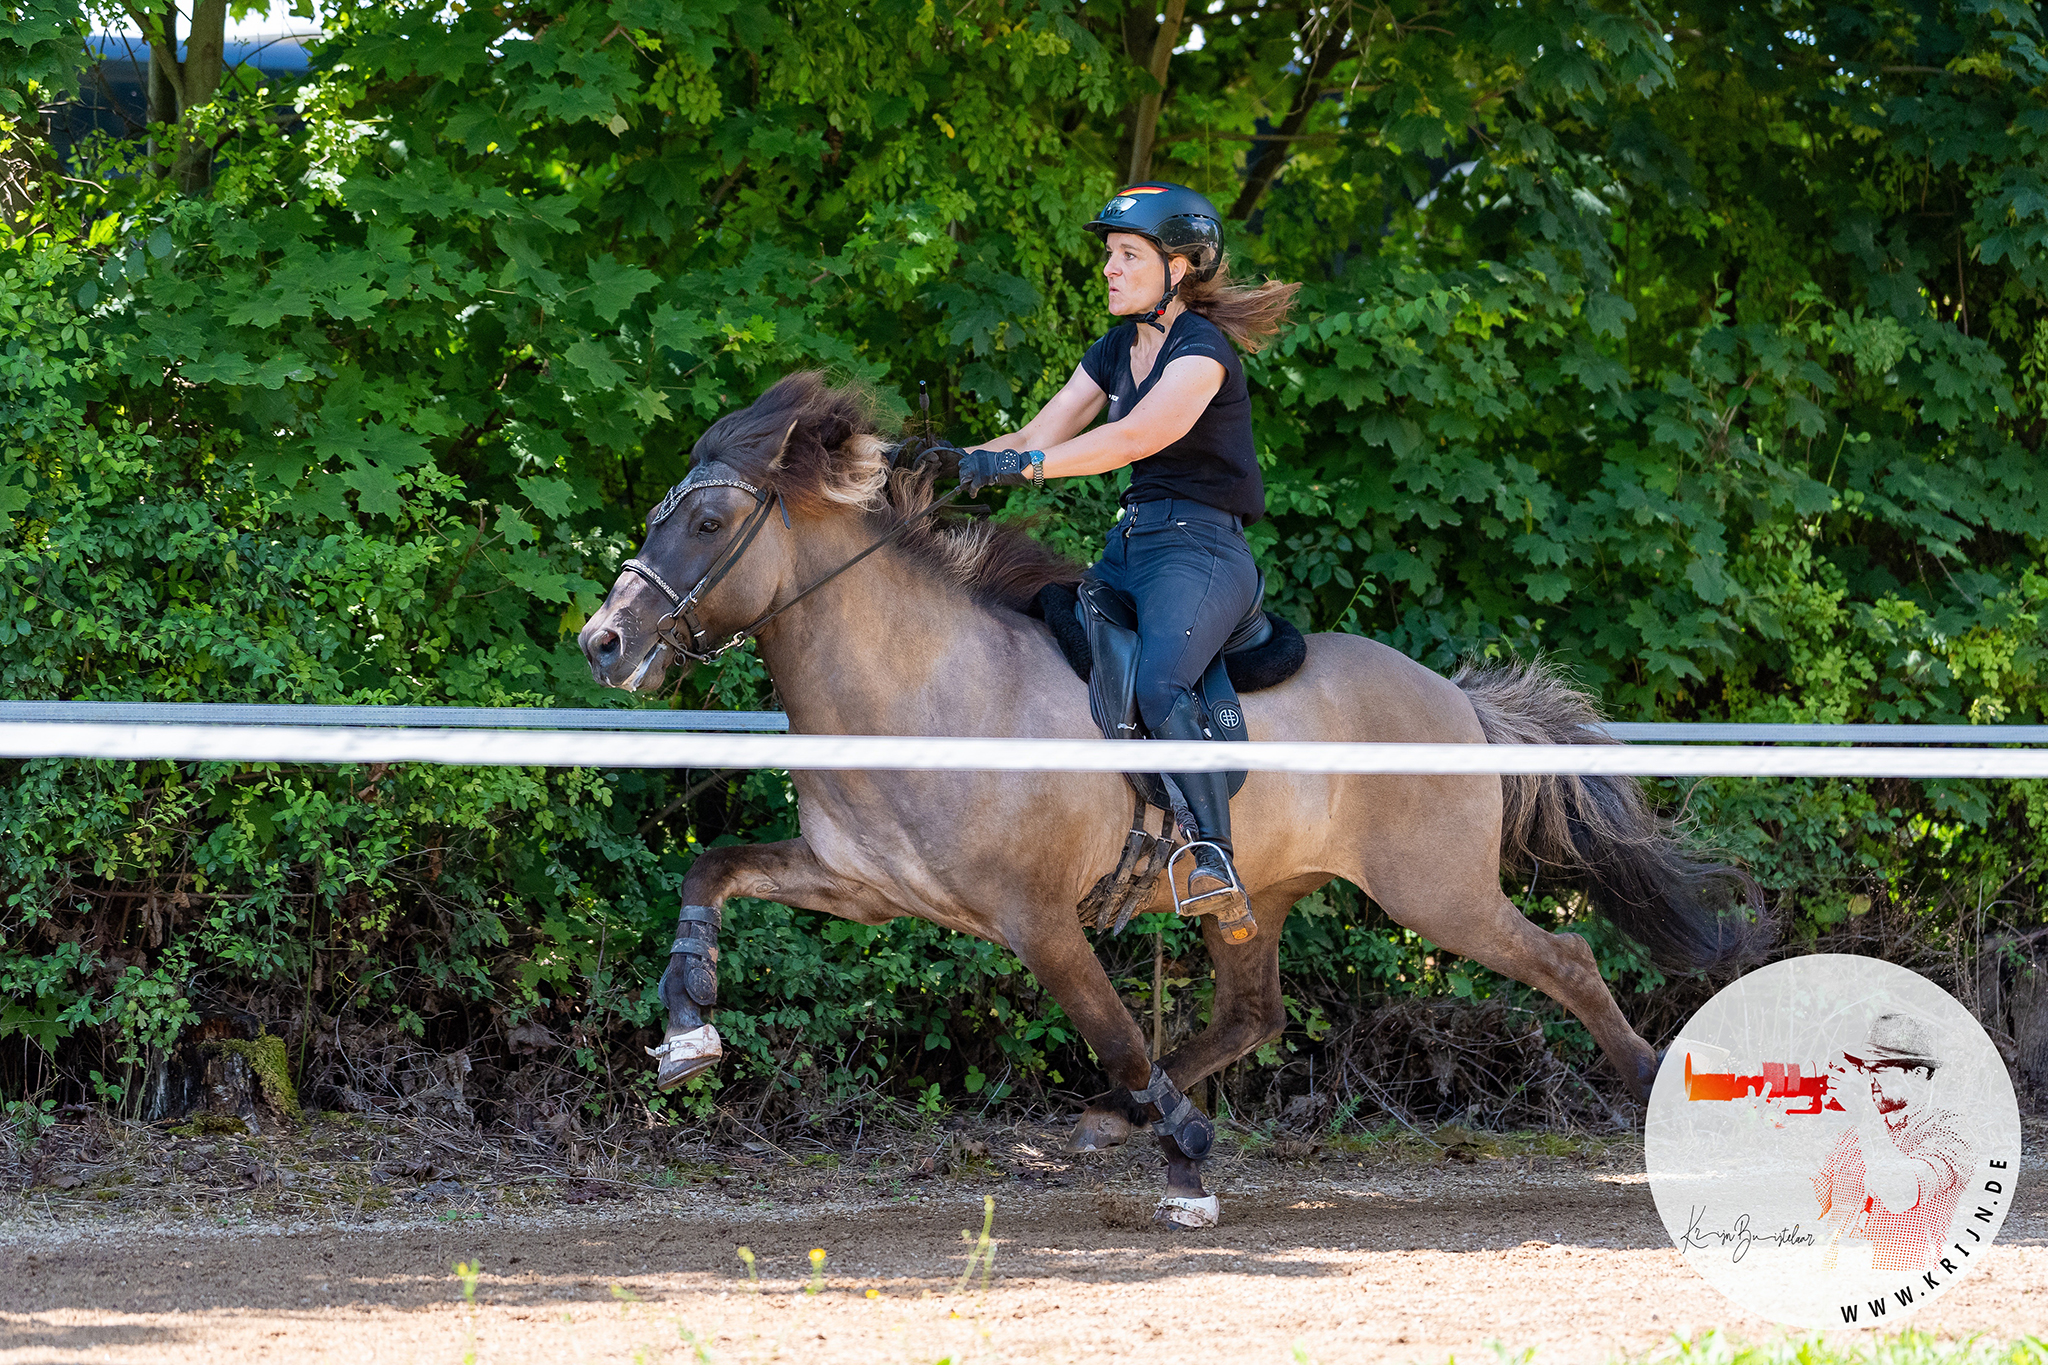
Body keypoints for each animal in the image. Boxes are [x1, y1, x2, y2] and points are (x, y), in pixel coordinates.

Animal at [581, 374, 1761, 1227]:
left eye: (710, 521)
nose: (604, 643)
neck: (923, 687)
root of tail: (1457, 701)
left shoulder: (1037, 921)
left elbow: (1111, 1031)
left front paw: (1185, 1163)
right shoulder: (858, 884)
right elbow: (711, 868)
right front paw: (687, 1028)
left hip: (1439, 895)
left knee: (1566, 959)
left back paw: (1648, 1087)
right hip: (1255, 896)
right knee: (1253, 1012)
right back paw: (1117, 1119)